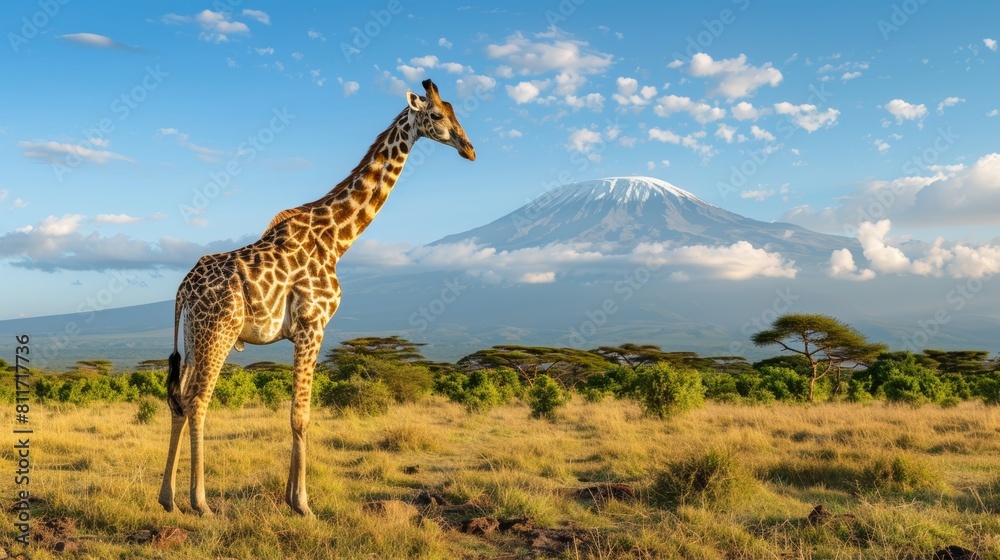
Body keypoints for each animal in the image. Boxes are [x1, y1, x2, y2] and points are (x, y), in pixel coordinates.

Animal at [158, 79, 475, 517]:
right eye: (438, 115)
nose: (469, 148)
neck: (337, 238)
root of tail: (183, 288)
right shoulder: (314, 325)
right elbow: (301, 417)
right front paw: (303, 504)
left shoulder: (303, 332)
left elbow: (297, 414)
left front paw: (291, 499)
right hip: (217, 332)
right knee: (197, 401)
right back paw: (200, 502)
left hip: (192, 337)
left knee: (177, 399)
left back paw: (167, 499)